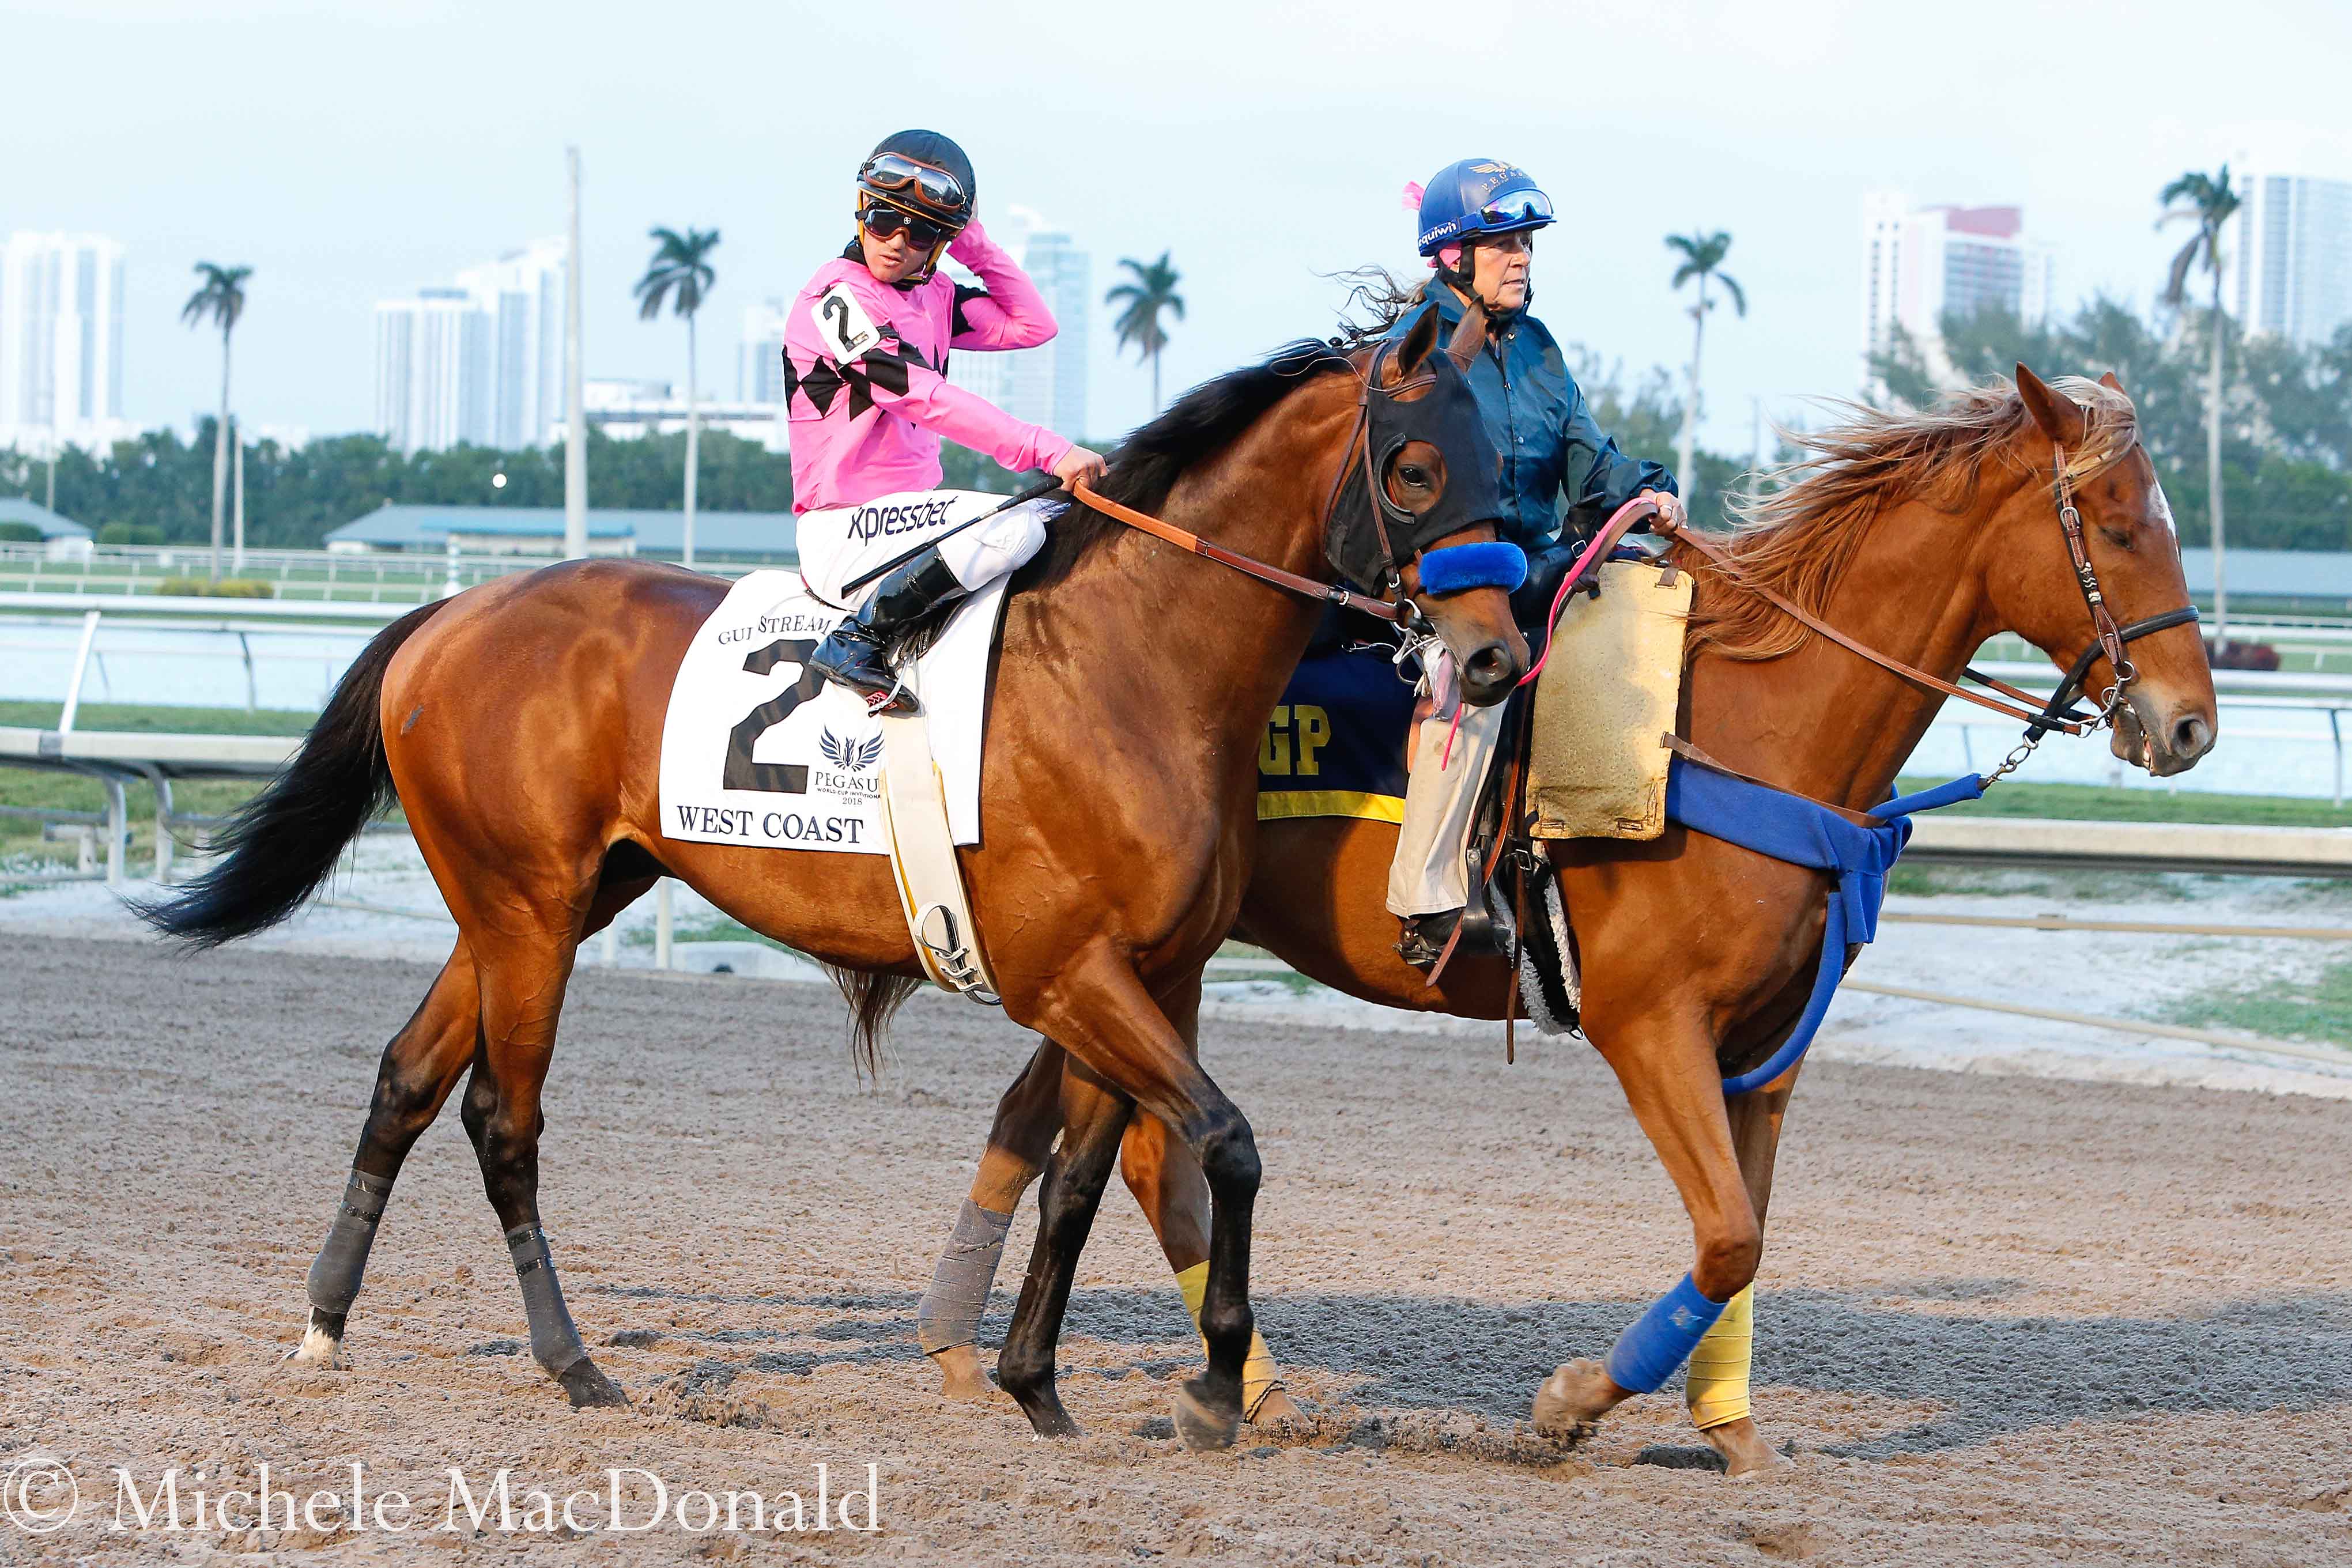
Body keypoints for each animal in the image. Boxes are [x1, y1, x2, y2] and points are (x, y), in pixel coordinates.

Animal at [156, 310, 1533, 1457]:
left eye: (1502, 473)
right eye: (1418, 472)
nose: (1494, 658)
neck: (1129, 666)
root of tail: (443, 616)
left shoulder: (1151, 970)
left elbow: (1087, 1175)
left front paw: (1036, 1385)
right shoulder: (1069, 974)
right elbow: (1223, 1144)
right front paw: (1207, 1386)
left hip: (537, 902)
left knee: (406, 1076)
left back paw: (326, 1324)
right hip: (529, 911)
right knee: (503, 1117)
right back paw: (574, 1363)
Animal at [912, 362, 2201, 1467]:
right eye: (2121, 527)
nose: (2188, 724)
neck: (1731, 729)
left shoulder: (1767, 1051)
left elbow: (1745, 1241)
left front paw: (1735, 1435)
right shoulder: (1650, 1026)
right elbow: (1726, 1235)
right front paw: (1576, 1400)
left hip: (1131, 956)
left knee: (1087, 1132)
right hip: (1123, 956)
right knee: (1144, 1149)